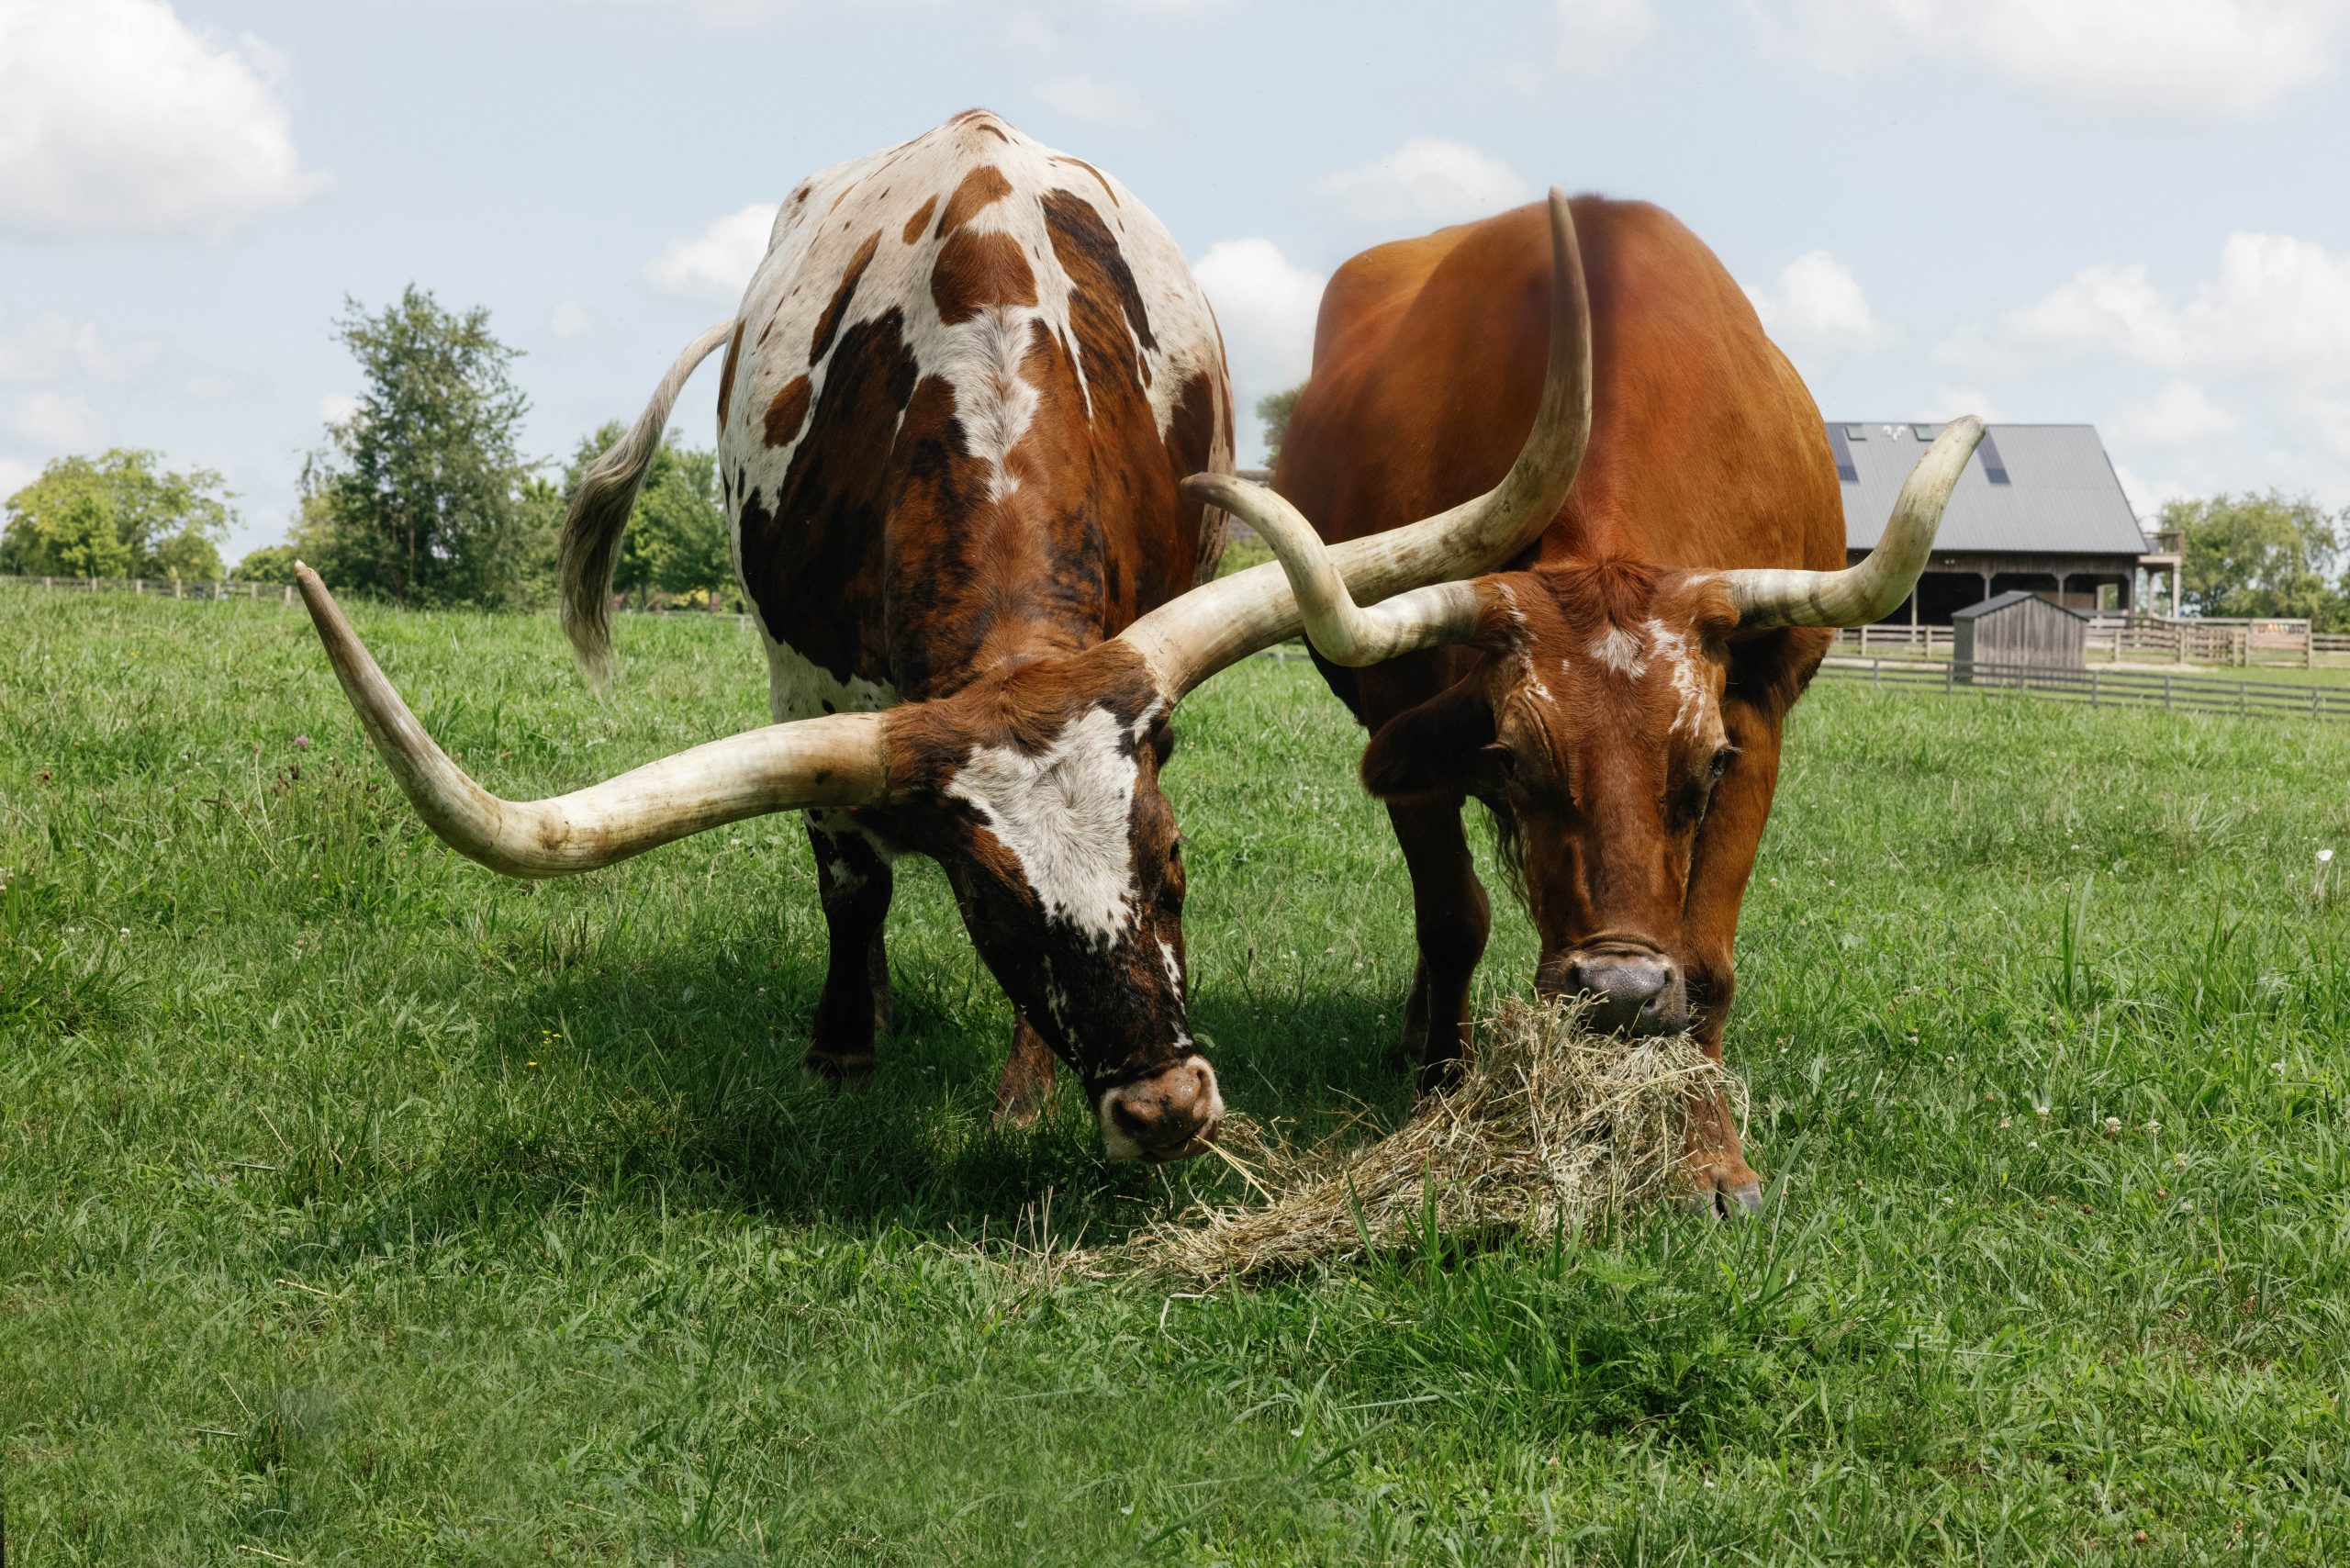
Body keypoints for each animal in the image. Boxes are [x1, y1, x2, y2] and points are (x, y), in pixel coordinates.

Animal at [290, 114, 1595, 1163]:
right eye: (996, 911)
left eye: (1174, 863)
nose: (1166, 1110)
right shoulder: (801, 684)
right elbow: (848, 873)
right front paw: (841, 1048)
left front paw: (1020, 1092)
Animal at [1189, 195, 1978, 1209]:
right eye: (1512, 758)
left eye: (1706, 762)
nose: (1620, 993)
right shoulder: (1409, 720)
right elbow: (1453, 919)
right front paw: (1442, 1097)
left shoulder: (1758, 718)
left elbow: (1707, 958)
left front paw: (1710, 1152)